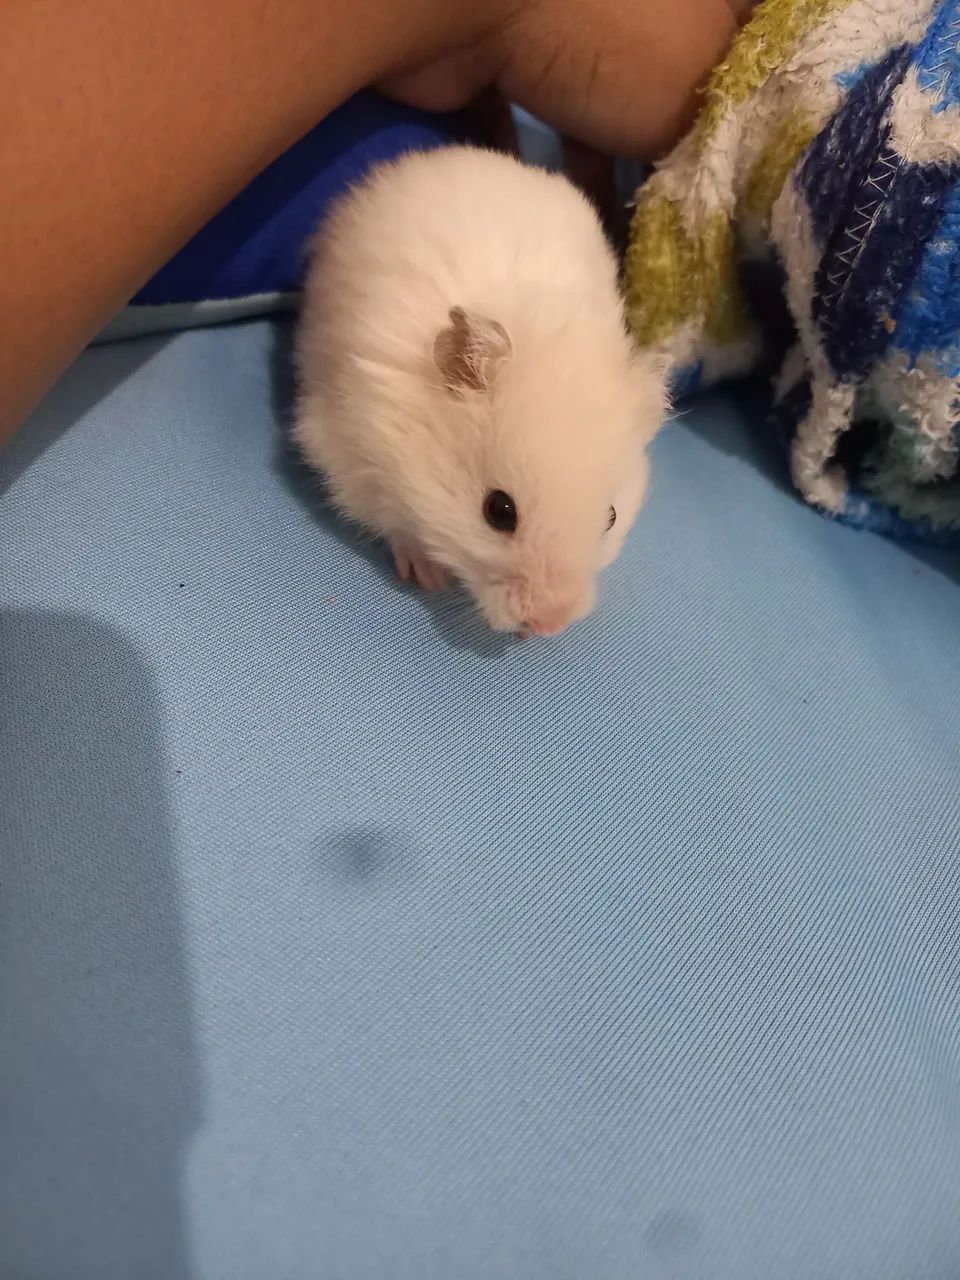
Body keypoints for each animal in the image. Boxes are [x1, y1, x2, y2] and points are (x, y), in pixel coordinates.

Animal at [294, 145, 667, 636]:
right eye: (498, 511)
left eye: (611, 517)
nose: (550, 624)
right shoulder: (348, 454)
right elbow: (398, 528)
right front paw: (428, 577)